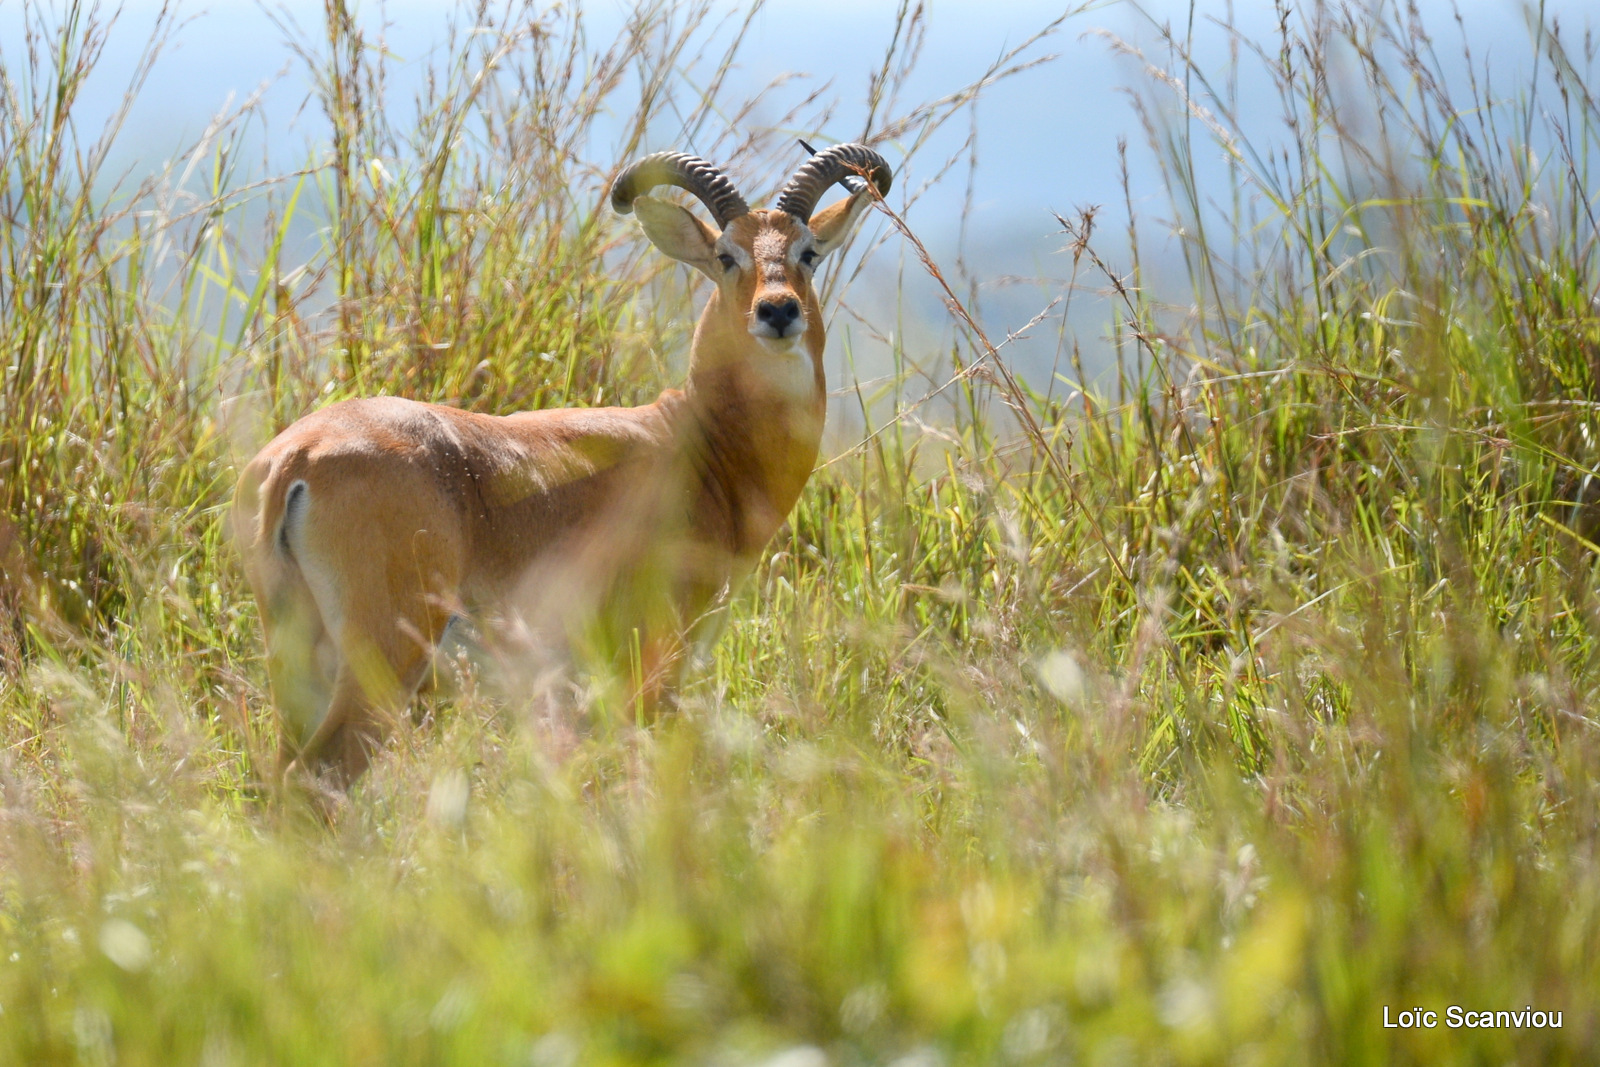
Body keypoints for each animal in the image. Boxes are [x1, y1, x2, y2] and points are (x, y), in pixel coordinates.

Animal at [233, 141, 896, 790]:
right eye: (726, 255)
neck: (701, 442)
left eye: (808, 252)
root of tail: (297, 457)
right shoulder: (653, 668)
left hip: (302, 671)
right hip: (384, 665)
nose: (778, 311)